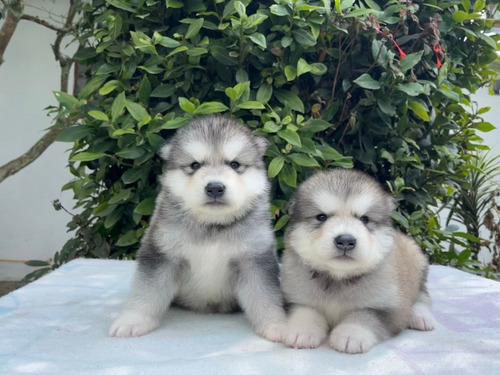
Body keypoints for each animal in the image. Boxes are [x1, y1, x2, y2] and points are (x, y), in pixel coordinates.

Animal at [109, 116, 286, 342]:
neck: (212, 225)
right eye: (195, 165)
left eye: (234, 164)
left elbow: (264, 295)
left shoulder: (254, 259)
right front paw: (133, 320)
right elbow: (147, 291)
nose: (215, 188)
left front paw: (277, 325)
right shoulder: (163, 253)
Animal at [282, 170, 434, 356]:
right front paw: (301, 331)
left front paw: (350, 335)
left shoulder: (388, 307)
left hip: (418, 262)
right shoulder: (296, 298)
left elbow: (364, 316)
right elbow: (306, 312)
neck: (338, 279)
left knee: (422, 294)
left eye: (365, 219)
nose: (346, 241)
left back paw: (420, 316)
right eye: (321, 217)